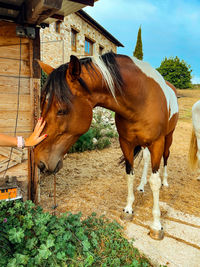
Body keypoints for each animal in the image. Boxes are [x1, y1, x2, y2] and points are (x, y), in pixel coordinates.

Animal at [34, 52, 178, 241]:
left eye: (62, 110)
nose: (40, 161)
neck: (142, 99)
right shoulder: (126, 143)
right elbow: (129, 175)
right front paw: (128, 209)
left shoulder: (157, 142)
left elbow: (155, 182)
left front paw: (156, 225)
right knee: (146, 160)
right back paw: (141, 185)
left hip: (168, 138)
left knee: (166, 157)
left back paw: (166, 182)